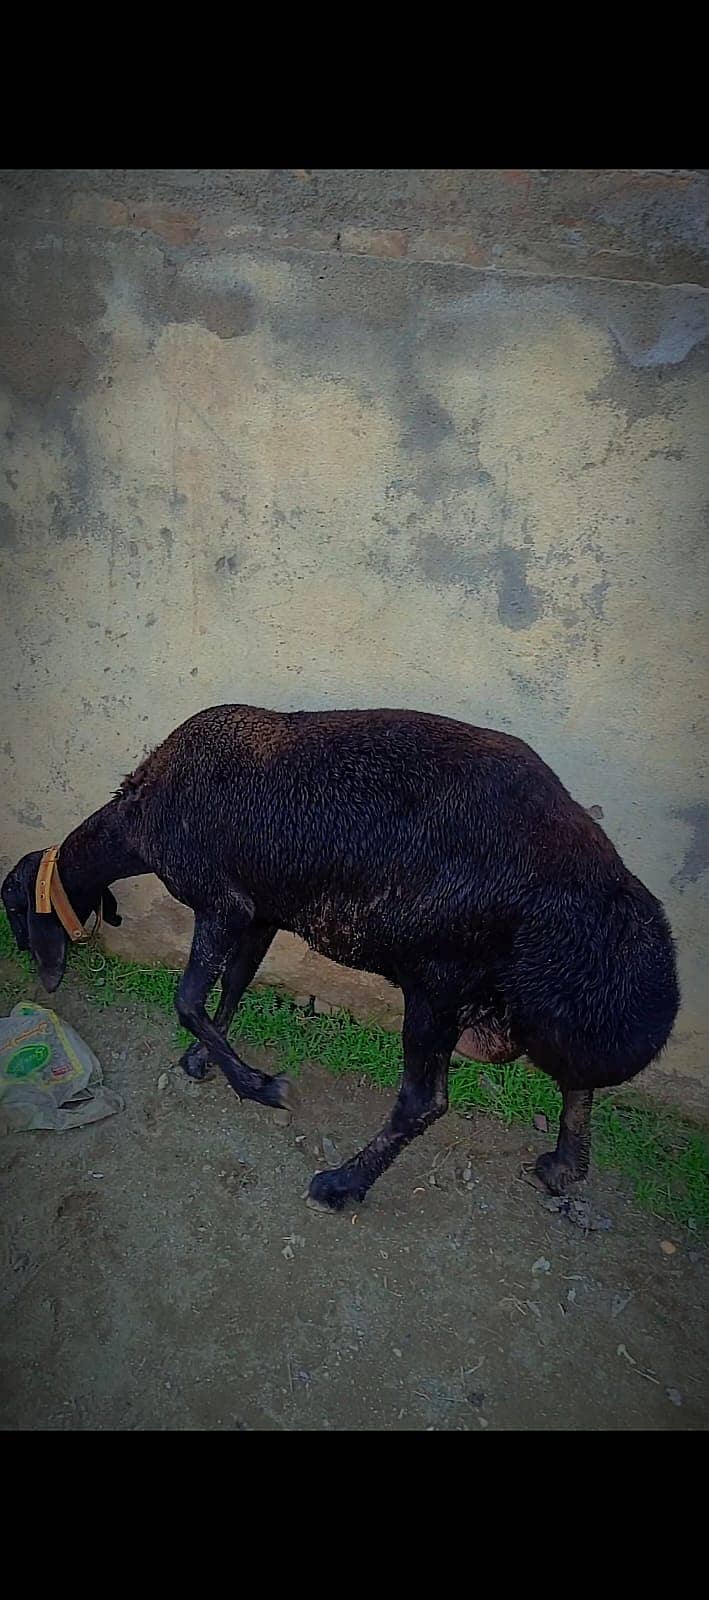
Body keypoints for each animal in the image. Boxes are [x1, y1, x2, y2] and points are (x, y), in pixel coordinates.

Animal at [2, 704, 680, 1212]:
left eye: (14, 914)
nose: (41, 979)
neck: (141, 813)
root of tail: (602, 889)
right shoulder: (261, 913)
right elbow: (234, 987)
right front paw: (206, 1061)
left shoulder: (221, 903)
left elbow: (189, 1000)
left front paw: (257, 1085)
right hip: (538, 1004)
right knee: (577, 1079)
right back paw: (564, 1167)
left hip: (440, 983)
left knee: (424, 1101)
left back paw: (343, 1184)